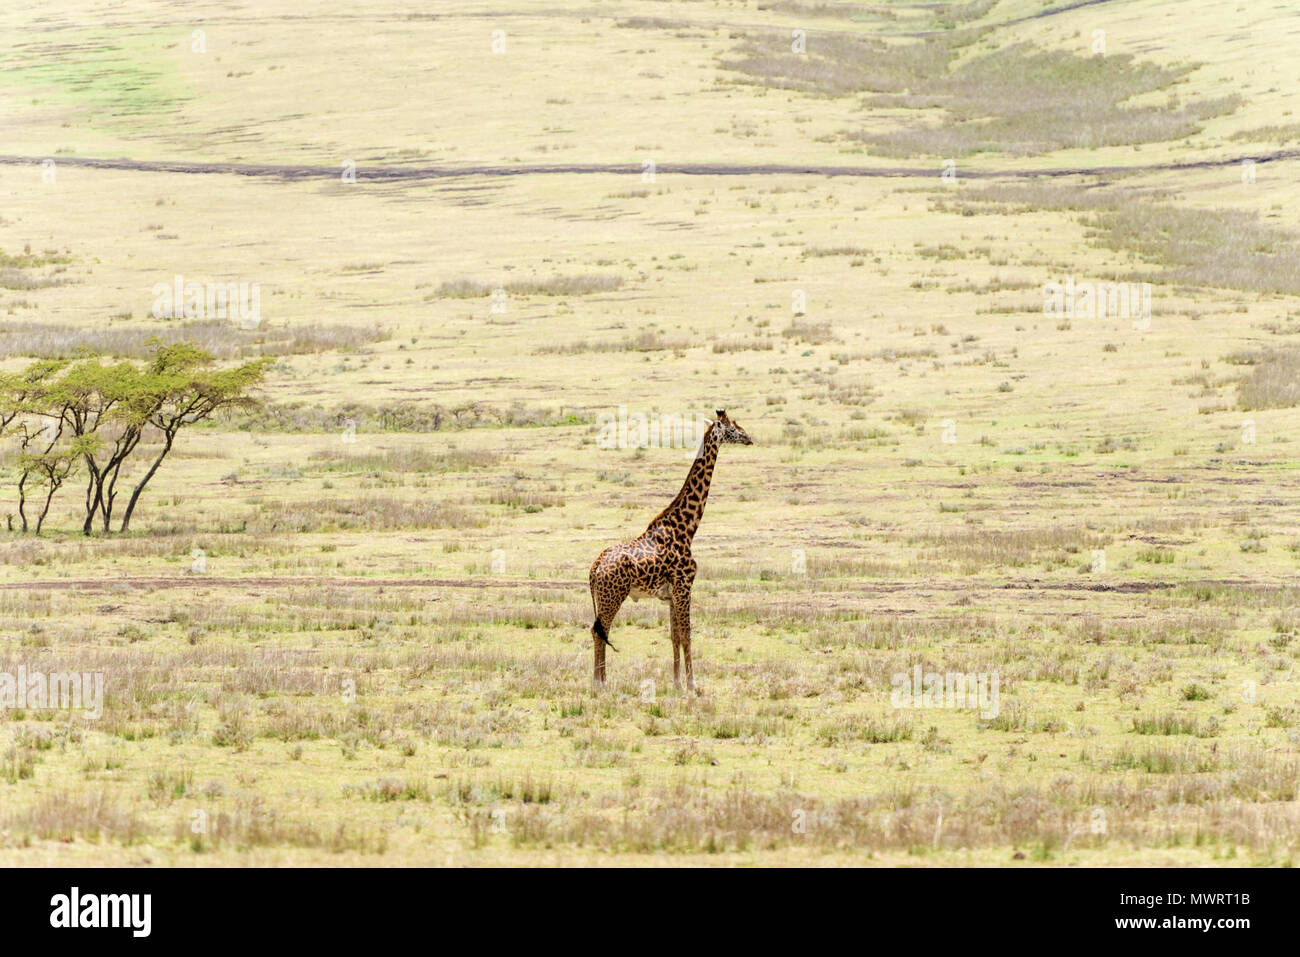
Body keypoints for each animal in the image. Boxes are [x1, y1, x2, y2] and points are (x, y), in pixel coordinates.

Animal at [587, 409, 754, 692]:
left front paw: (677, 682)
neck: (686, 528)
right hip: (613, 596)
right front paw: (692, 684)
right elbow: (687, 636)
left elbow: (674, 637)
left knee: (598, 630)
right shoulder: (684, 586)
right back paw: (600, 683)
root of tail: (594, 567)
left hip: (602, 598)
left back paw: (601, 681)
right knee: (600, 631)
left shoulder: (670, 595)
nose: (749, 438)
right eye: (732, 429)